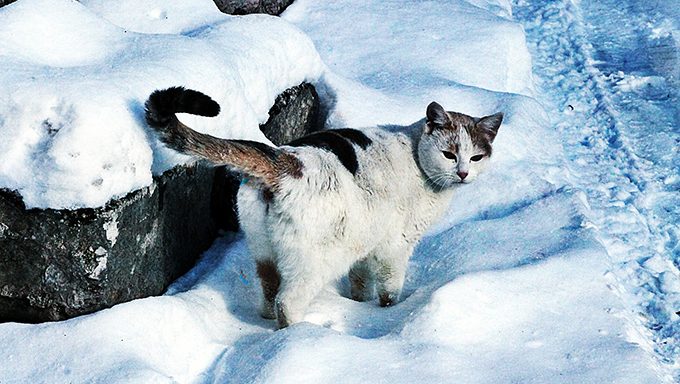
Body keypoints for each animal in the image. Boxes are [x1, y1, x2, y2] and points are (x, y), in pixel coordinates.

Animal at [145, 86, 504, 328]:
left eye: (476, 157)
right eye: (449, 154)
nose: (463, 173)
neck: (416, 156)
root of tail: (285, 161)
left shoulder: (366, 245)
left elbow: (360, 283)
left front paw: (358, 301)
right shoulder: (395, 247)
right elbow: (389, 290)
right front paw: (387, 311)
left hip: (264, 251)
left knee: (268, 294)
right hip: (314, 262)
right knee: (286, 302)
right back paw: (298, 334)